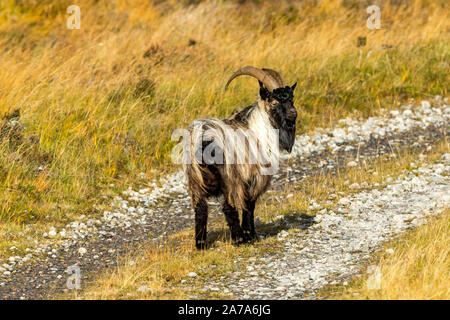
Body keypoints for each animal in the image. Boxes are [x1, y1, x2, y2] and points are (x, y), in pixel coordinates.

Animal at [181, 66, 298, 249]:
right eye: (274, 101)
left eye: (291, 97)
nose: (293, 113)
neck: (258, 127)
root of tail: (204, 139)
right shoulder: (253, 178)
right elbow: (249, 205)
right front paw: (251, 235)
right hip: (230, 178)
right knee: (228, 207)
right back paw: (238, 239)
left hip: (195, 179)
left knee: (200, 209)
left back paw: (201, 245)